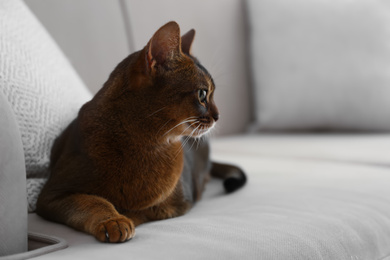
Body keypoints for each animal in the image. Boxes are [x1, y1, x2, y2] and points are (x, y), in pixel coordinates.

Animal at [35, 21, 244, 243]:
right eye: (203, 94)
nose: (218, 116)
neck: (146, 144)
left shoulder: (177, 203)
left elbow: (138, 210)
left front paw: (120, 218)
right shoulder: (52, 194)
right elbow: (92, 201)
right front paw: (112, 221)